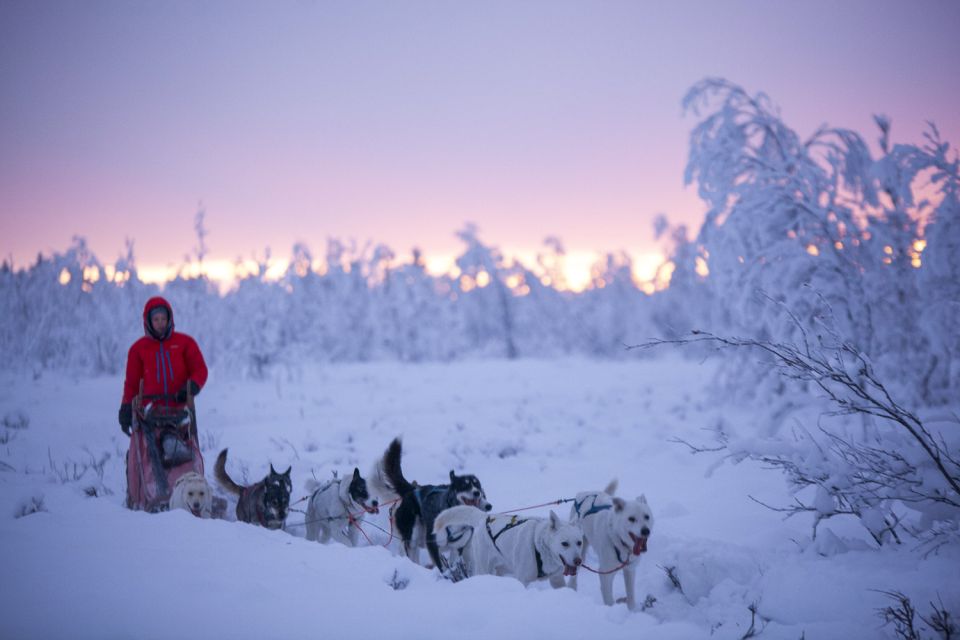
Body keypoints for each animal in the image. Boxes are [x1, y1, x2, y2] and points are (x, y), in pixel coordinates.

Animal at [436, 504, 584, 584]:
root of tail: (484, 517)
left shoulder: (556, 579)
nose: (578, 561)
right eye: (565, 543)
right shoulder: (522, 580)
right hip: (483, 567)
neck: (538, 547)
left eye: (579, 543)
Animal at [568, 480, 656, 608]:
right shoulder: (605, 574)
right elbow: (609, 600)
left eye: (647, 516)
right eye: (631, 518)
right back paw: (571, 587)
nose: (645, 531)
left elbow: (630, 596)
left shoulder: (630, 570)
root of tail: (587, 493)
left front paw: (632, 610)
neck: (618, 540)